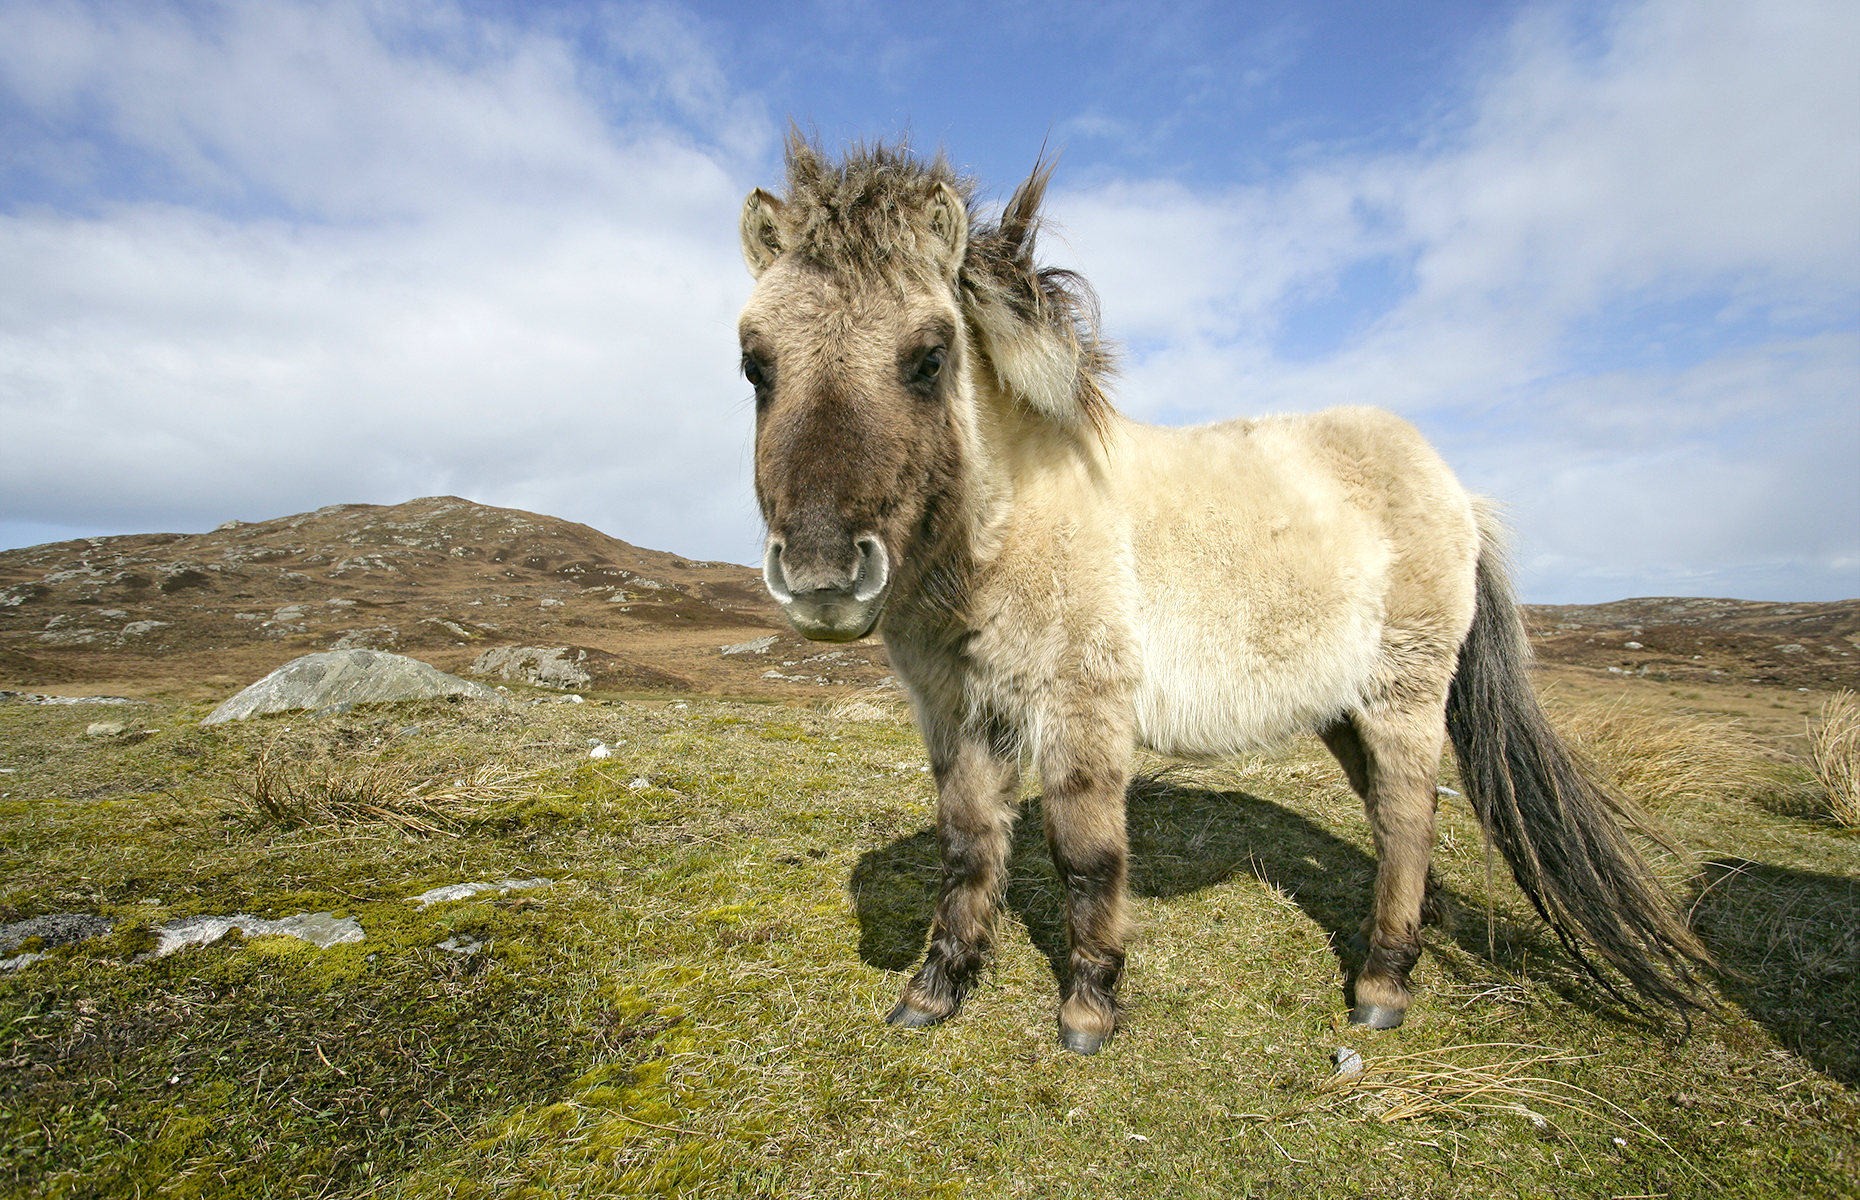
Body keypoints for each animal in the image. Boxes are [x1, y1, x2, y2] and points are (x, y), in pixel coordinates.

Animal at [729, 140, 1711, 1056]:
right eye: (755, 367)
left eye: (930, 358)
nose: (822, 577)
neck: (1013, 522)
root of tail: (1455, 488)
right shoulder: (955, 714)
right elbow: (967, 848)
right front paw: (934, 992)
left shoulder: (1082, 711)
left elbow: (1085, 855)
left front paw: (1089, 1007)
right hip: (1341, 707)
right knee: (1393, 816)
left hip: (1404, 693)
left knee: (1407, 817)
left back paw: (1382, 985)